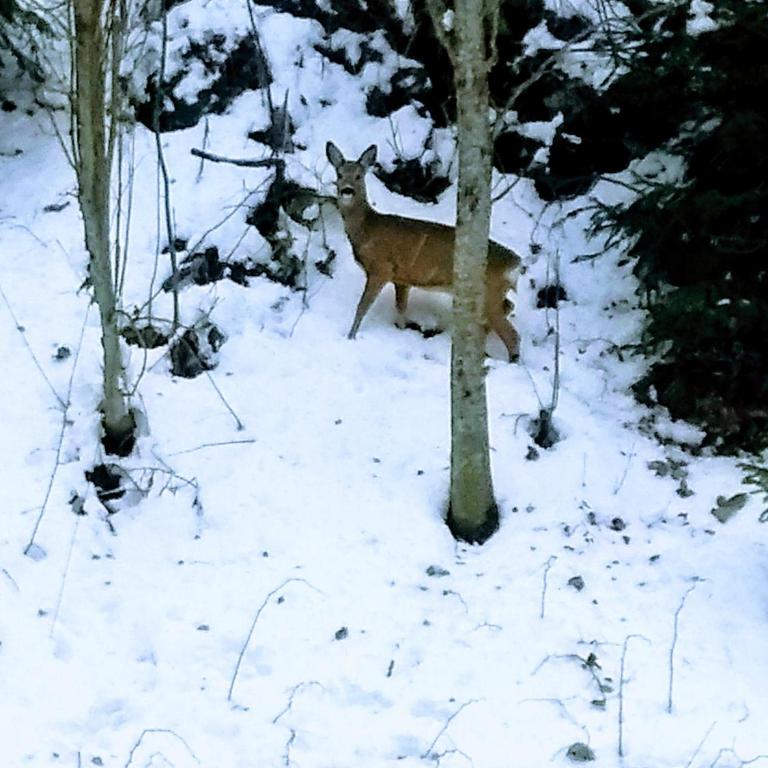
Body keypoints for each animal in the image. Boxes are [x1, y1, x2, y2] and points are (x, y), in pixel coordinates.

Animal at [326, 141, 521, 362]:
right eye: (339, 173)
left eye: (359, 176)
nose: (347, 190)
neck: (367, 229)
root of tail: (516, 263)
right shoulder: (401, 278)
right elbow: (401, 308)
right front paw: (401, 330)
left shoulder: (381, 268)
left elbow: (362, 307)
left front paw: (350, 336)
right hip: (495, 292)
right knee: (508, 308)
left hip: (488, 292)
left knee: (512, 334)